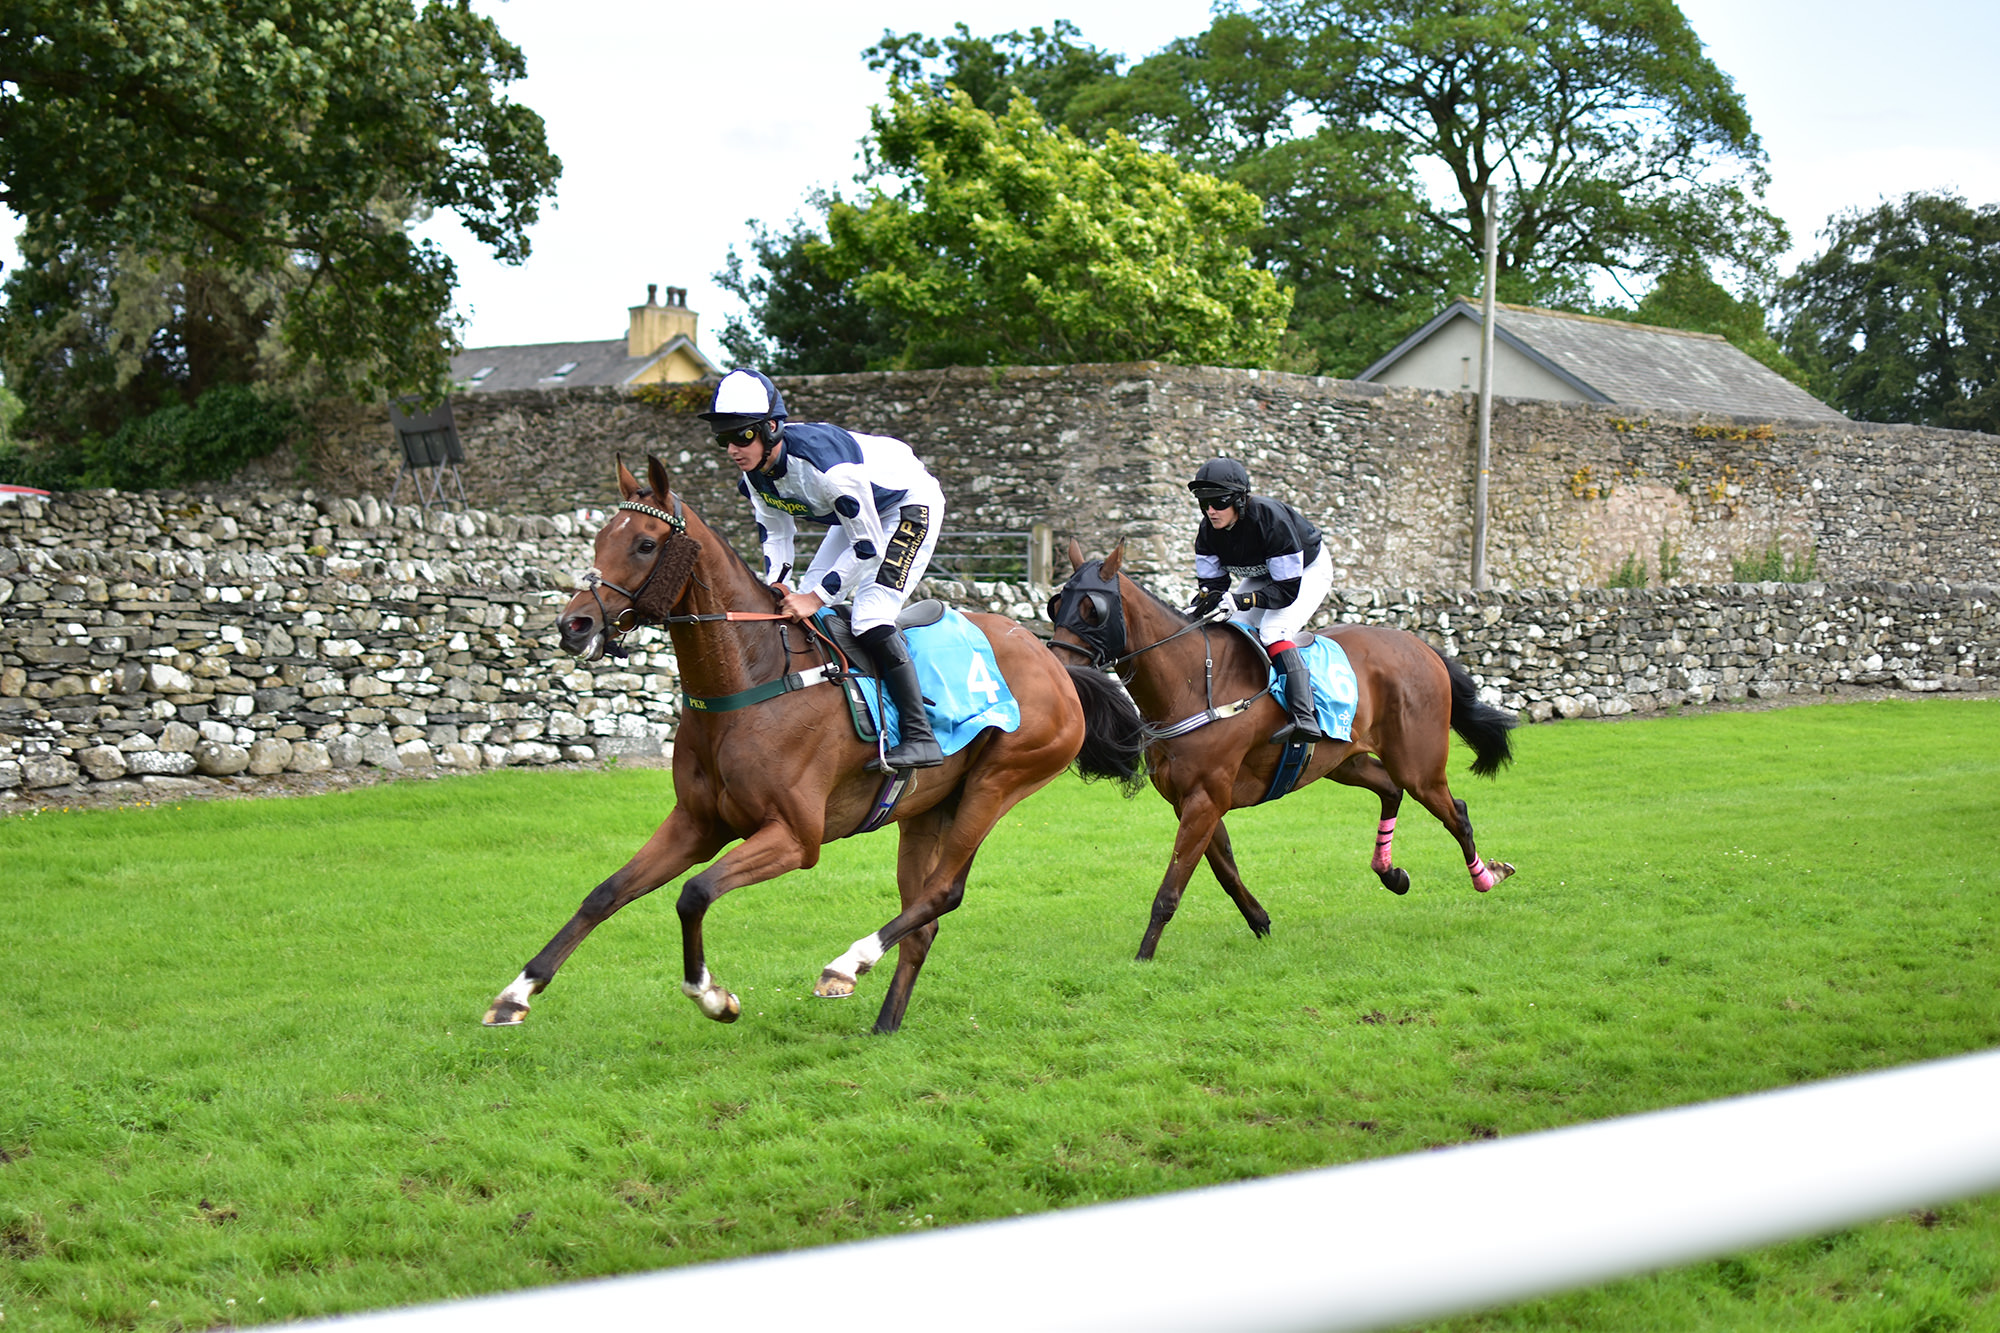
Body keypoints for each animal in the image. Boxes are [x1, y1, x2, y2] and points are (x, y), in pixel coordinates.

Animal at [480, 454, 1144, 1024]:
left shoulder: (795, 838)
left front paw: (713, 996)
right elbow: (605, 893)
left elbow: (694, 894)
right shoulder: (697, 822)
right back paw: (884, 1025)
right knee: (923, 915)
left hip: (998, 783)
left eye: (645, 544)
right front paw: (516, 993)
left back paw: (847, 964)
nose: (574, 624)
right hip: (927, 808)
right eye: (598, 541)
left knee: (944, 892)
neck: (750, 678)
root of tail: (1055, 662)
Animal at [1048, 536, 1512, 956]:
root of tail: (1424, 647)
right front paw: (1260, 922)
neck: (1194, 683)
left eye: (1093, 609)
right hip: (1343, 761)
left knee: (1456, 812)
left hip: (1418, 765)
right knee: (1390, 789)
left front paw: (1144, 956)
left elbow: (1171, 889)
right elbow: (1225, 871)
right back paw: (1390, 873)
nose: (1062, 673)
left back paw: (1486, 876)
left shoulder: (1206, 797)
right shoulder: (1189, 801)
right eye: (1057, 604)